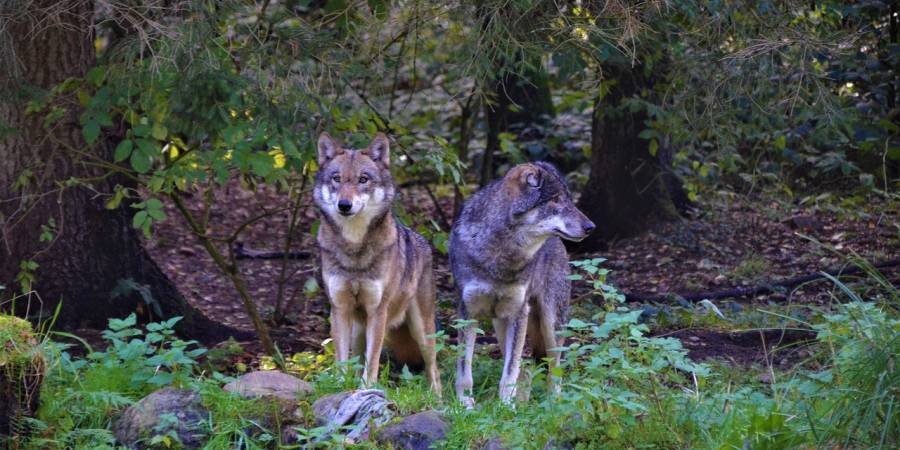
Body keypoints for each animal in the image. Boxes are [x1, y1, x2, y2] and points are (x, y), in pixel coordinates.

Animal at [314, 131, 442, 394]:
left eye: (363, 179)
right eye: (336, 179)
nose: (344, 205)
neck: (354, 248)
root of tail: (422, 240)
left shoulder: (378, 310)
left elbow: (372, 359)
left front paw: (367, 387)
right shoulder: (339, 308)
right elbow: (342, 360)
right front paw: (341, 387)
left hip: (422, 331)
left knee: (434, 369)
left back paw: (439, 399)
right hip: (357, 330)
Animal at [454, 163, 596, 408]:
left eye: (569, 199)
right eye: (555, 200)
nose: (591, 227)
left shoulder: (519, 312)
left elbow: (510, 372)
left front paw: (506, 407)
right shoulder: (468, 313)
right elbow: (466, 370)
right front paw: (465, 404)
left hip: (551, 324)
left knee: (554, 369)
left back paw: (553, 404)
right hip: (502, 325)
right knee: (526, 367)